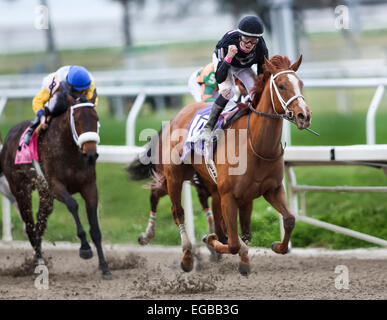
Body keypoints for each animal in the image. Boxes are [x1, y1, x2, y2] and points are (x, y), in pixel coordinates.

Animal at [0, 90, 112, 280]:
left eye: (96, 118)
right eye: (77, 119)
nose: (91, 154)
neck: (70, 152)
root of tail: (8, 138)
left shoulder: (89, 187)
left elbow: (95, 229)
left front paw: (104, 267)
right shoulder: (56, 186)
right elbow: (73, 205)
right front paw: (85, 248)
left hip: (45, 195)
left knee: (39, 224)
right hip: (21, 190)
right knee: (30, 226)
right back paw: (39, 263)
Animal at [152, 55, 312, 276]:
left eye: (301, 84)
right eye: (281, 85)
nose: (304, 115)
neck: (256, 146)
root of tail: (180, 113)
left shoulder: (271, 189)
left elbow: (287, 220)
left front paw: (276, 246)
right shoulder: (229, 196)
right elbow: (234, 242)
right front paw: (213, 241)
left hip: (212, 185)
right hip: (174, 177)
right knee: (179, 213)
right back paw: (187, 257)